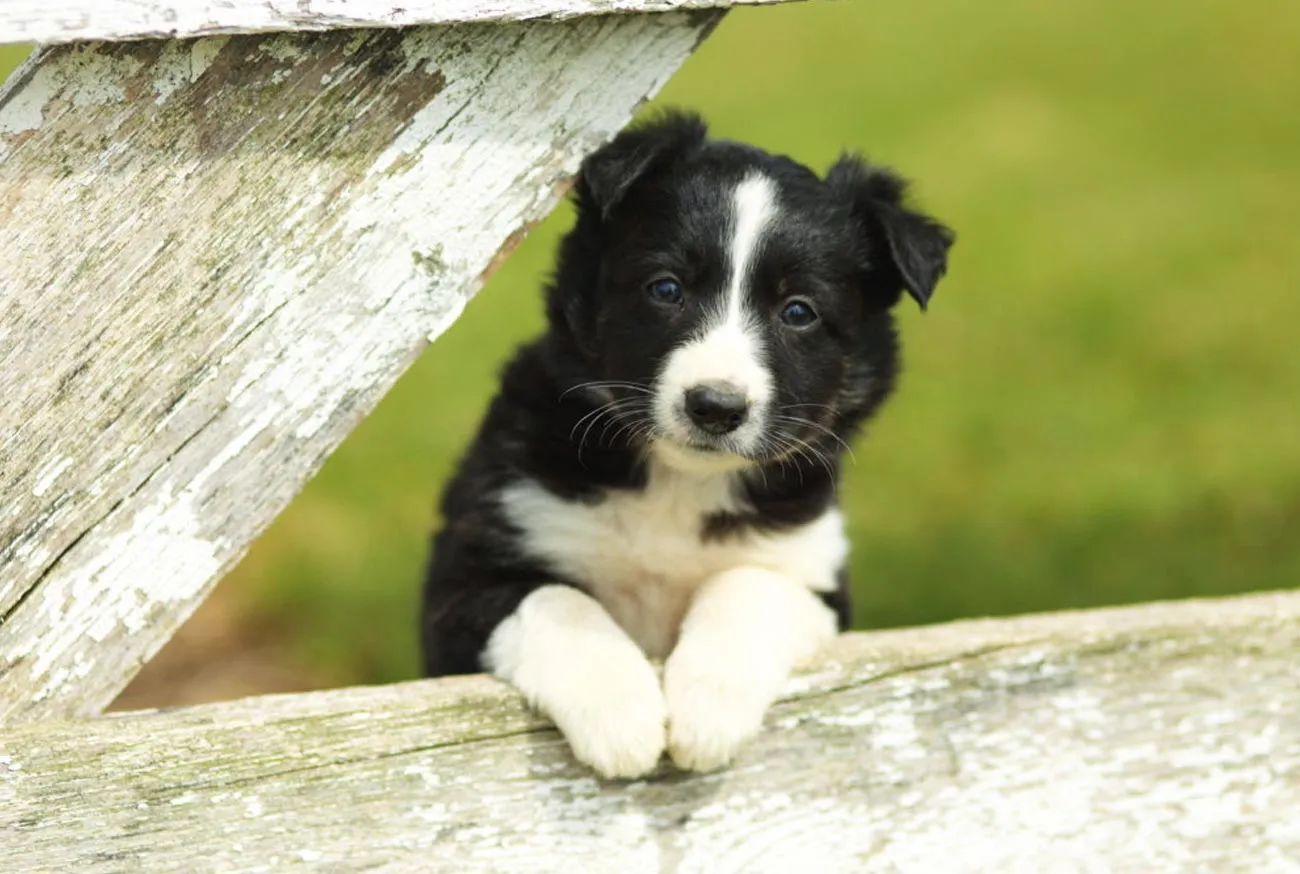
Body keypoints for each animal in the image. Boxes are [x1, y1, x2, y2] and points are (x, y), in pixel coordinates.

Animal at [421, 111, 951, 780]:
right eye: (666, 289)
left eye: (798, 312)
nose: (716, 407)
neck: (679, 482)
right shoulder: (466, 575)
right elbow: (556, 599)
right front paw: (620, 714)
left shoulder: (815, 575)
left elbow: (748, 586)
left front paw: (707, 712)